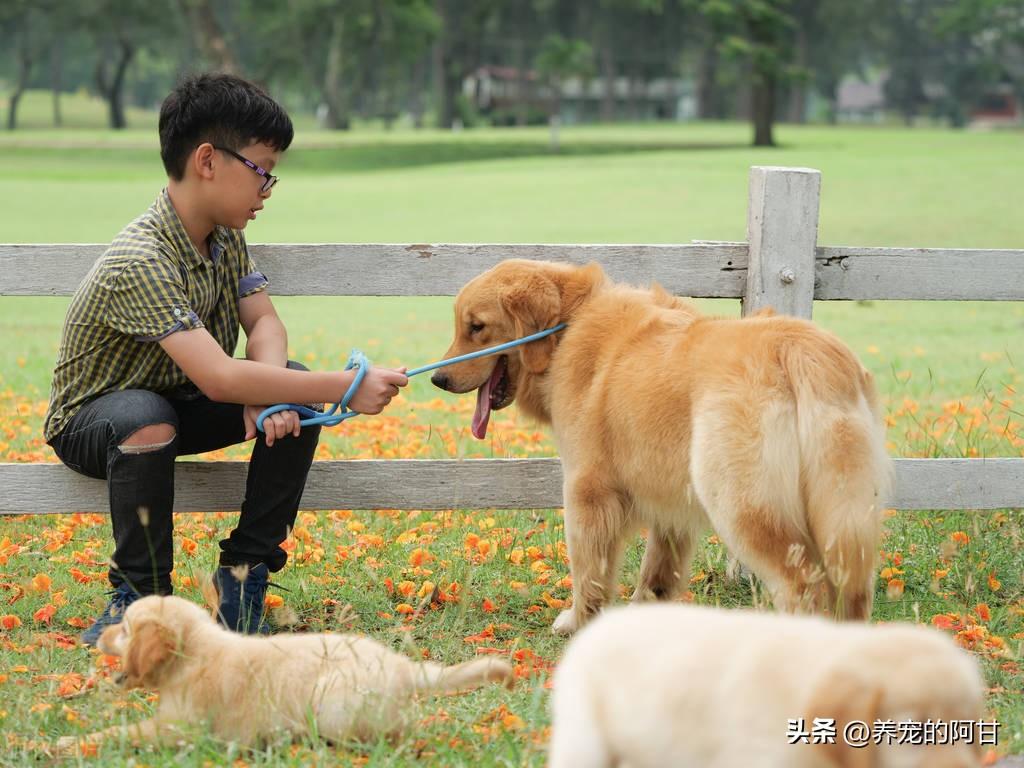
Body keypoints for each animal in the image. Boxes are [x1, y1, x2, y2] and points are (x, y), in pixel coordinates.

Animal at [56, 593, 512, 753]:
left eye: (126, 630)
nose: (100, 636)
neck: (195, 653)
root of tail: (403, 666)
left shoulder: (179, 729)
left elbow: (119, 733)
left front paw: (65, 742)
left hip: (334, 704)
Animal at [432, 262, 888, 634]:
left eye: (476, 327)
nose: (437, 379)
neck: (567, 324)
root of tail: (800, 349)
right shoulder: (671, 502)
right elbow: (657, 574)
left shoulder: (586, 489)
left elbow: (588, 569)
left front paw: (577, 621)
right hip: (844, 516)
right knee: (852, 593)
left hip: (742, 504)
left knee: (803, 587)